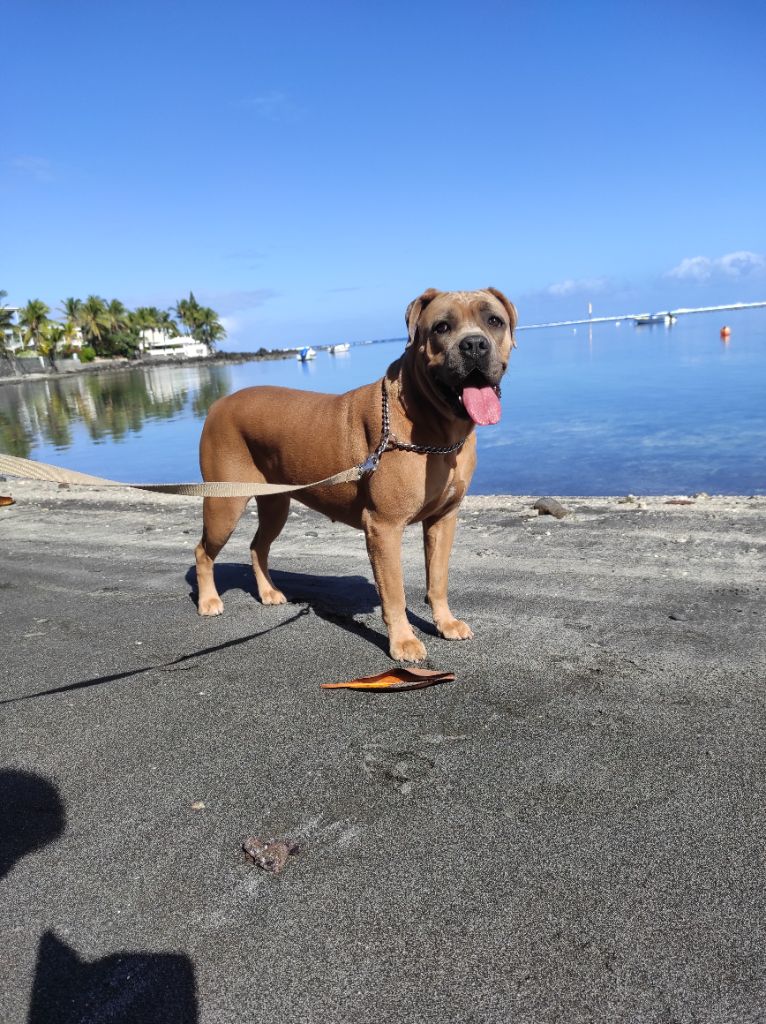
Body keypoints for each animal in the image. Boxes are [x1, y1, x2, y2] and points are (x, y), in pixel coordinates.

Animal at [194, 288, 518, 659]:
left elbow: (438, 578)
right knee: (203, 551)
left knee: (257, 546)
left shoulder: (443, 519)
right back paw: (208, 601)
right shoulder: (384, 527)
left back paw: (268, 592)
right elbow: (394, 592)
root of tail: (217, 404)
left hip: (276, 503)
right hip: (224, 503)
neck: (436, 427)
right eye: (441, 327)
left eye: (494, 320)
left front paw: (445, 623)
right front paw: (403, 641)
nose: (474, 344)